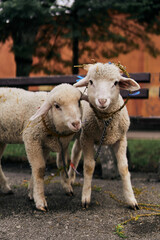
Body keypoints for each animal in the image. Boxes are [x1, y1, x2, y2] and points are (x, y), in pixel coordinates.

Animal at [67, 62, 140, 210]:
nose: (102, 100)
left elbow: (124, 168)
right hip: (80, 133)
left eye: (116, 83)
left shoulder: (121, 139)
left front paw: (131, 200)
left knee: (76, 153)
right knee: (74, 154)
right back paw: (69, 182)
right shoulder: (87, 138)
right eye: (91, 82)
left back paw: (71, 179)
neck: (106, 121)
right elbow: (89, 166)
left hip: (81, 134)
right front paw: (85, 198)